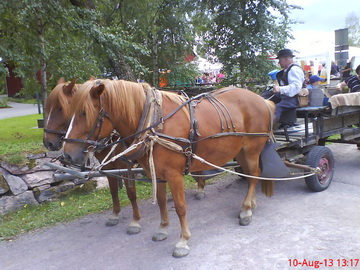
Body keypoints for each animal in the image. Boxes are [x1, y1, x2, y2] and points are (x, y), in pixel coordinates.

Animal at [62, 78, 276, 258]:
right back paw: (250, 204)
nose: (67, 155)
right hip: (239, 151)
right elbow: (162, 201)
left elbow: (180, 207)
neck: (154, 123)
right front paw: (163, 228)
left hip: (251, 149)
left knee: (254, 174)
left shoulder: (174, 175)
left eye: (84, 113)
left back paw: (246, 209)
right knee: (250, 175)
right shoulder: (157, 173)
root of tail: (261, 100)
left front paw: (183, 241)